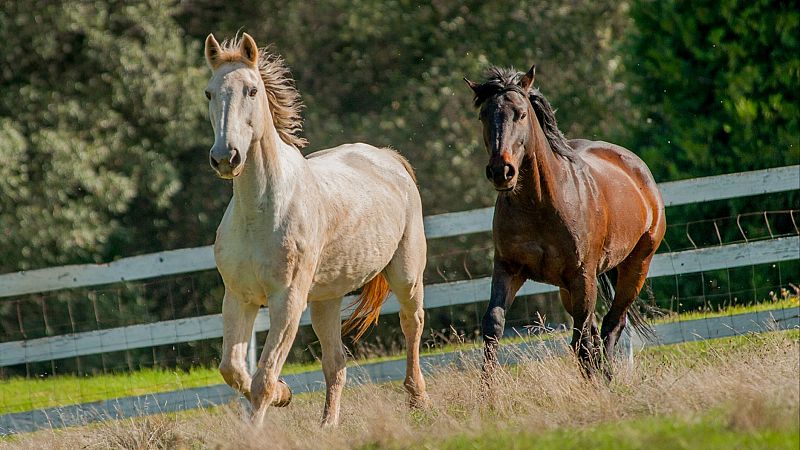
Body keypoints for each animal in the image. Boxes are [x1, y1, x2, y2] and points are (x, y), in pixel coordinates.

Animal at [206, 34, 428, 426]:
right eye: (209, 93)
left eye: (252, 90)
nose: (225, 158)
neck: (259, 213)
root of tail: (388, 158)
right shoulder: (238, 297)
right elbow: (232, 369)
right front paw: (285, 394)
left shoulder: (288, 301)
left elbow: (263, 378)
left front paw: (260, 419)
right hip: (327, 299)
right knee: (335, 363)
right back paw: (328, 426)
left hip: (406, 276)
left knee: (411, 323)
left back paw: (417, 399)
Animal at [466, 66, 664, 376]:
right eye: (484, 115)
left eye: (520, 114)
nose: (501, 171)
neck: (539, 205)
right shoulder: (508, 268)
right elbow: (493, 325)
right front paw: (488, 387)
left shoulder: (581, 275)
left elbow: (582, 340)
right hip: (569, 289)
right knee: (595, 332)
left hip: (635, 267)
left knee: (611, 325)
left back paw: (608, 377)